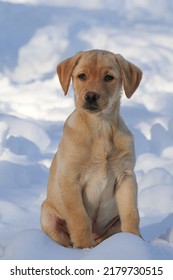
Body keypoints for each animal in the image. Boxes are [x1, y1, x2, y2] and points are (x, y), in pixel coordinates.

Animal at [40, 49, 142, 248]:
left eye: (108, 77)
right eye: (82, 76)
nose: (91, 96)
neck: (100, 128)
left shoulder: (126, 176)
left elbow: (131, 213)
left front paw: (135, 242)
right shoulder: (70, 179)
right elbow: (79, 218)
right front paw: (84, 248)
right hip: (47, 216)